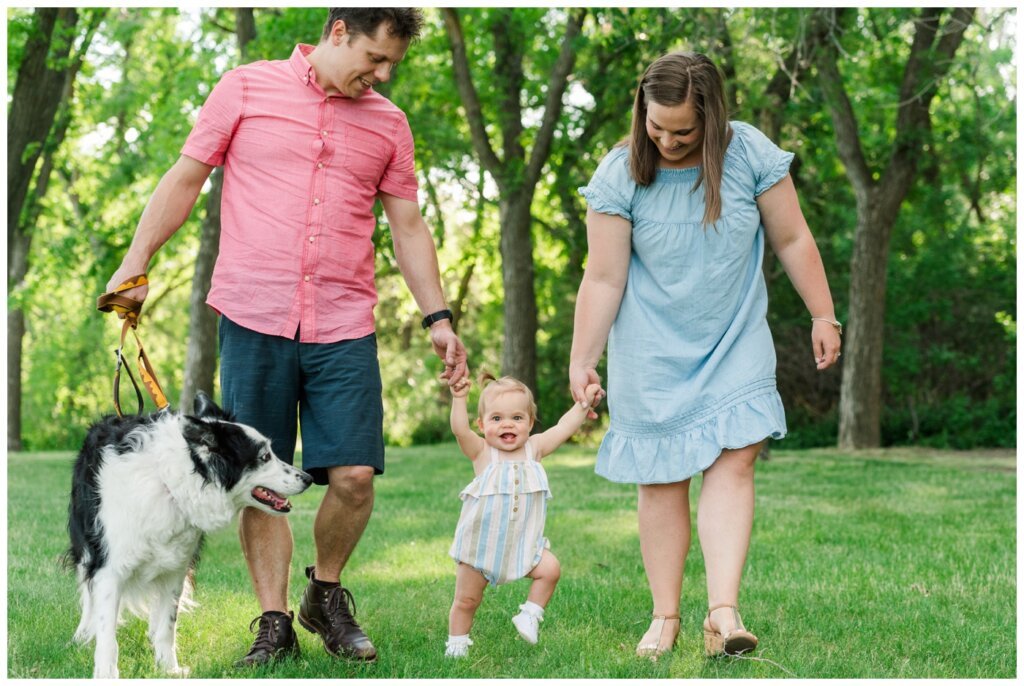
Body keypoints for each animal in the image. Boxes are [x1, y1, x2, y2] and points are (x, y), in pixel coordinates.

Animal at [66, 389, 311, 679]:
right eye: (264, 457)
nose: (308, 478)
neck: (171, 483)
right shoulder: (109, 568)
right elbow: (107, 632)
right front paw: (105, 673)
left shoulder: (176, 569)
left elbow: (167, 626)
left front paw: (168, 669)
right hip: (87, 545)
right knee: (87, 591)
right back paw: (83, 634)